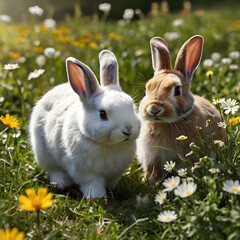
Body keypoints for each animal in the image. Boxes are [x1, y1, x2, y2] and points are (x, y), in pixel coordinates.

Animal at [29, 49, 141, 198]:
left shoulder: (114, 173)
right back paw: (61, 183)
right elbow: (93, 184)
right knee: (55, 170)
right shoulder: (87, 173)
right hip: (45, 154)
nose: (128, 129)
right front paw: (97, 197)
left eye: (132, 107)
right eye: (102, 114)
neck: (109, 146)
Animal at [137, 35, 225, 186]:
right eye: (148, 88)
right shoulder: (151, 158)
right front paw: (149, 182)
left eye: (177, 90)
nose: (154, 109)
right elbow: (151, 170)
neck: (165, 123)